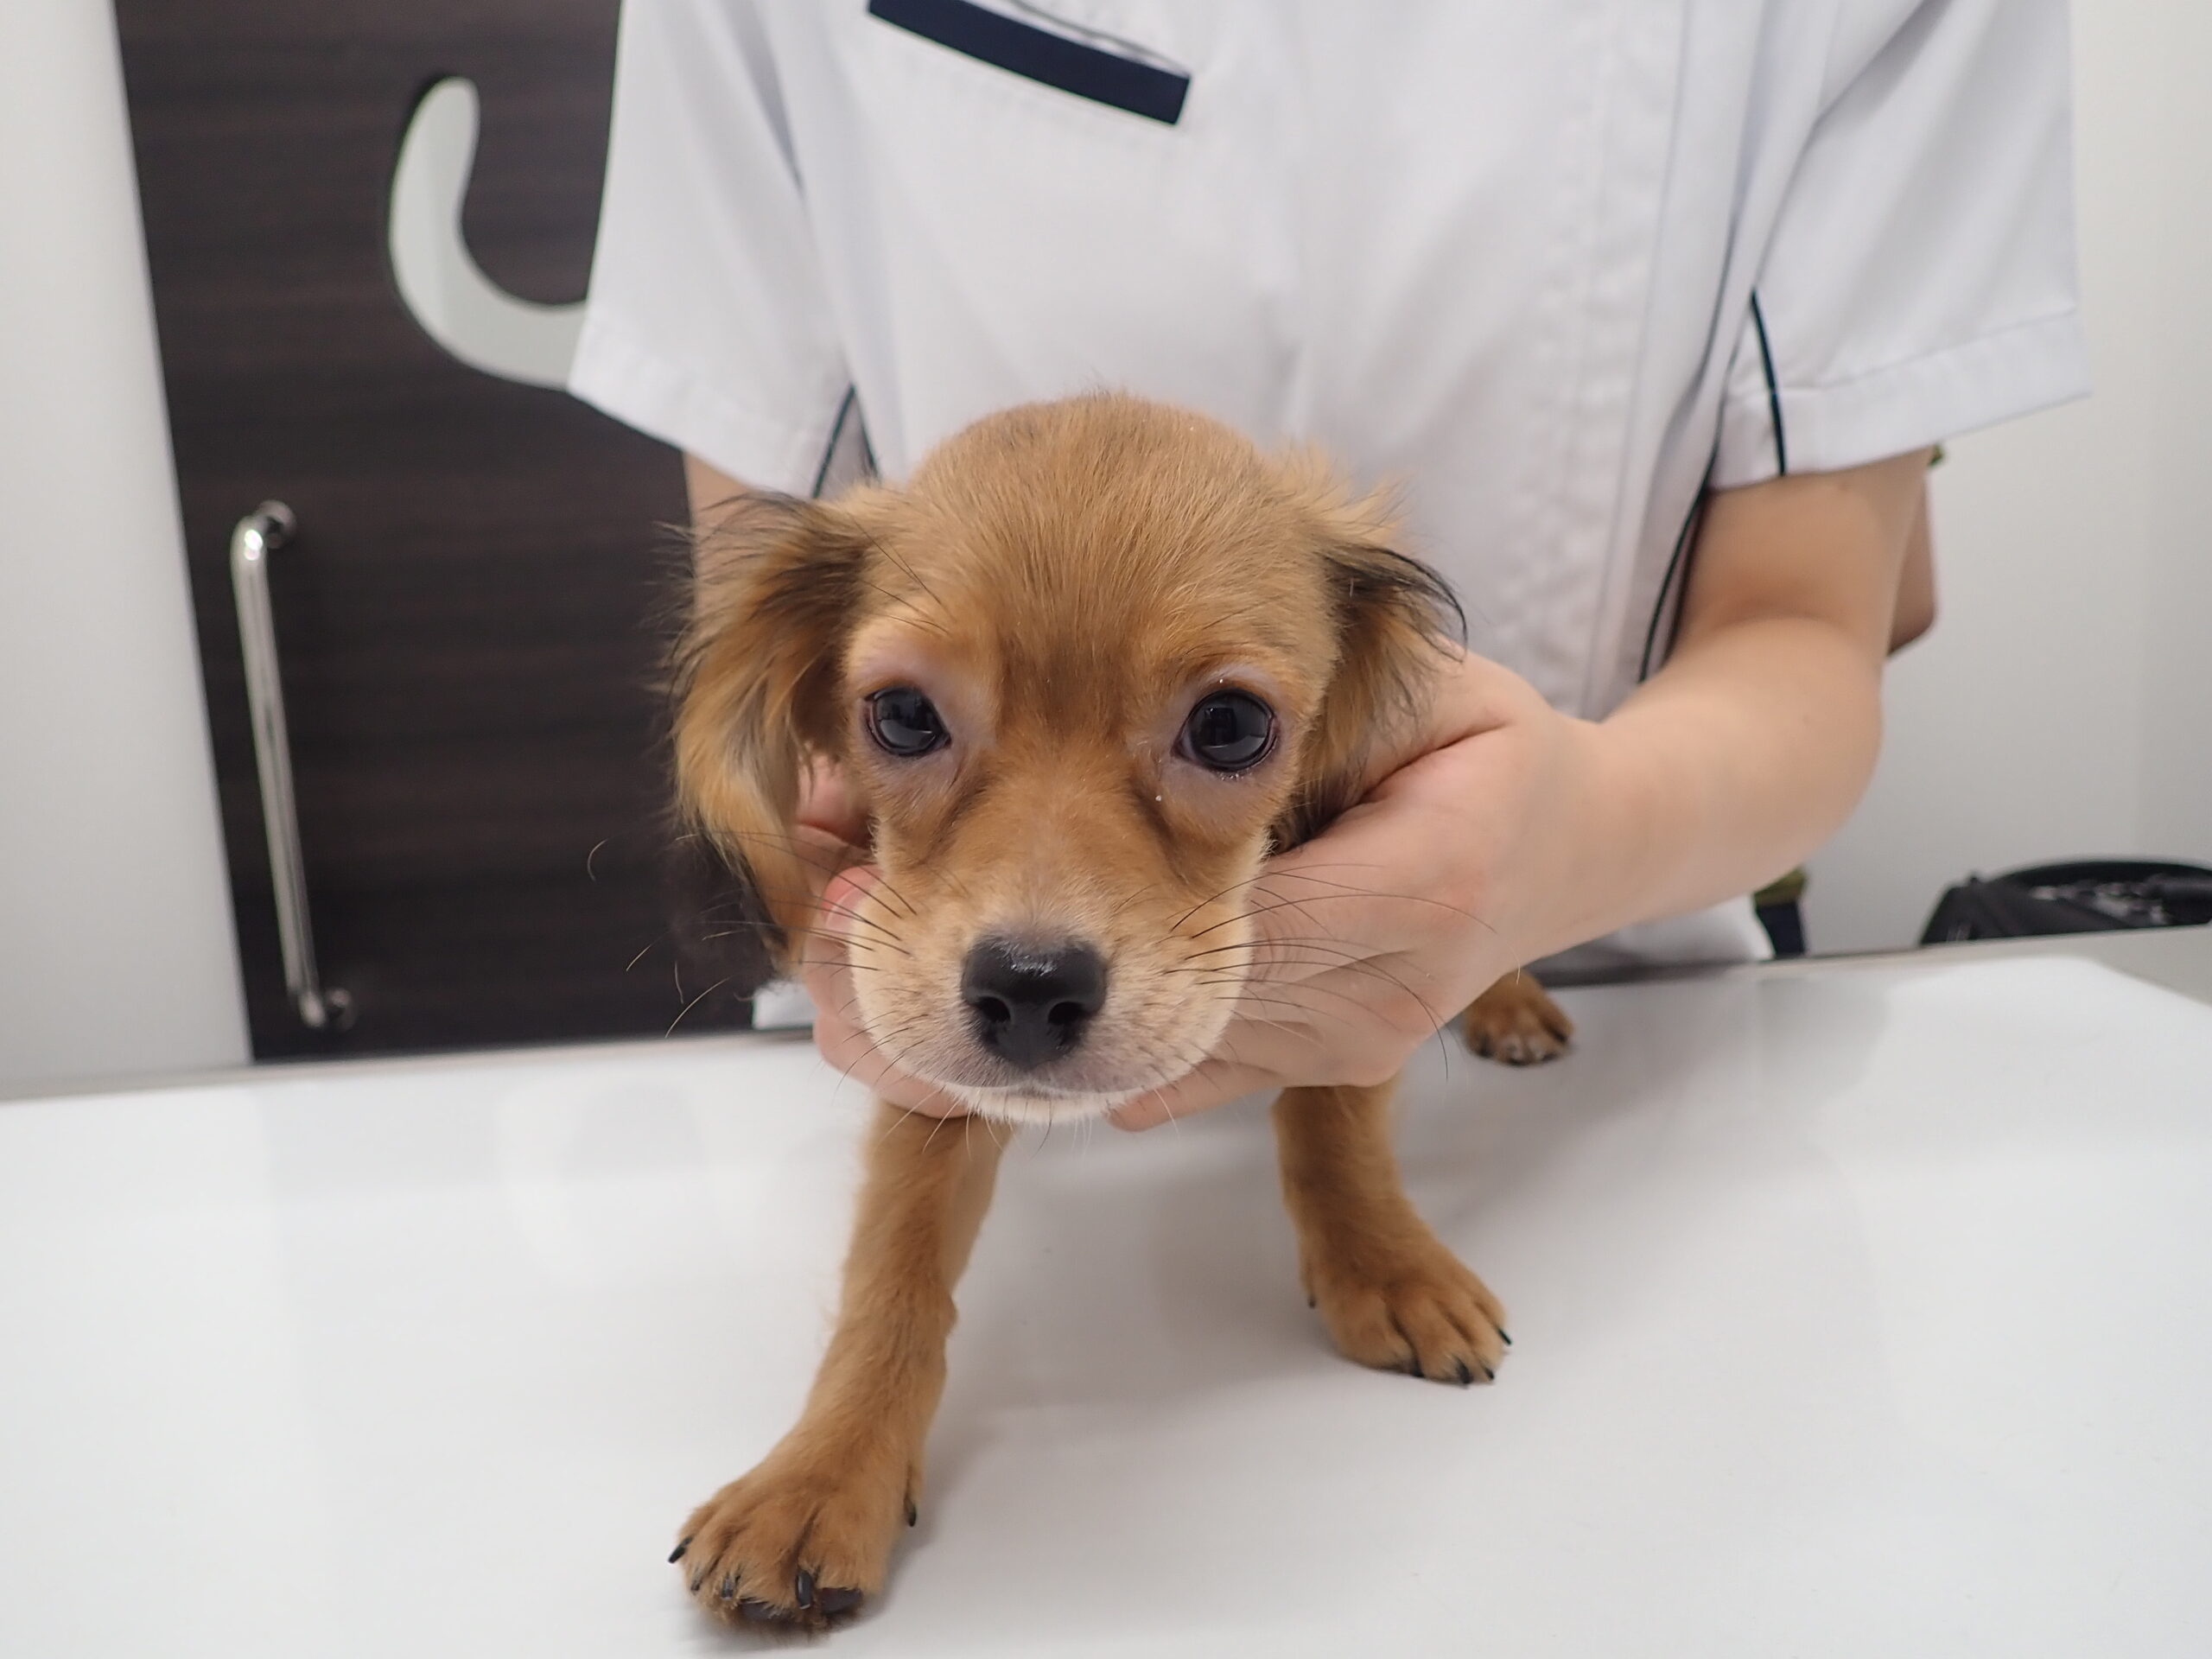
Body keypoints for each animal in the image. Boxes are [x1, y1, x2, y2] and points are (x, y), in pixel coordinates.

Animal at [664, 396, 1566, 1628]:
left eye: (1229, 727)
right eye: (900, 715)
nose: (1028, 987)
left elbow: (1332, 1119)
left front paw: (1382, 1265)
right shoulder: (917, 1037)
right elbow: (892, 1271)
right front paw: (822, 1472)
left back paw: (1511, 1003)